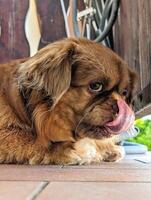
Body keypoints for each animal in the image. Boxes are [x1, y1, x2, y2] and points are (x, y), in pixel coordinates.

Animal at [0, 38, 137, 165]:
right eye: (96, 86)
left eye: (124, 93)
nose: (120, 106)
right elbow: (35, 140)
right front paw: (75, 149)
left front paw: (108, 149)